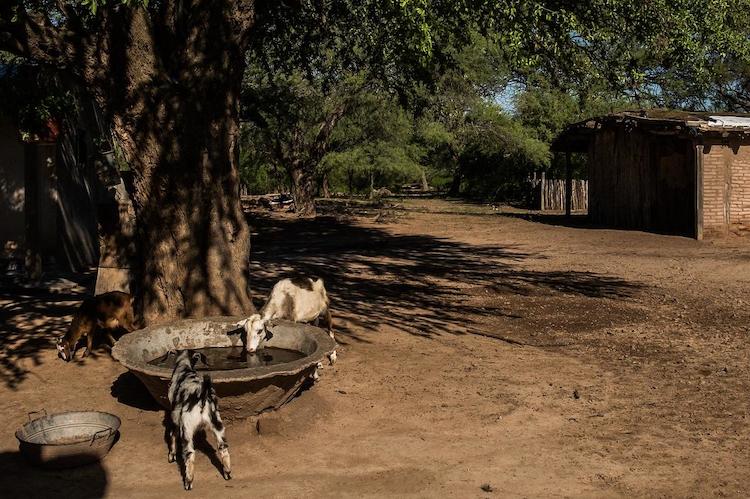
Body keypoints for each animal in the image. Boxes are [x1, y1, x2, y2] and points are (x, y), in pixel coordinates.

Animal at [166, 350, 231, 491]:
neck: (185, 367)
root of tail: (202, 396)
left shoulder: (174, 417)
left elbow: (172, 437)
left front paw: (171, 456)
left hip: (187, 430)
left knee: (190, 455)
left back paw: (188, 482)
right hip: (218, 427)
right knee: (223, 450)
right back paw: (227, 473)